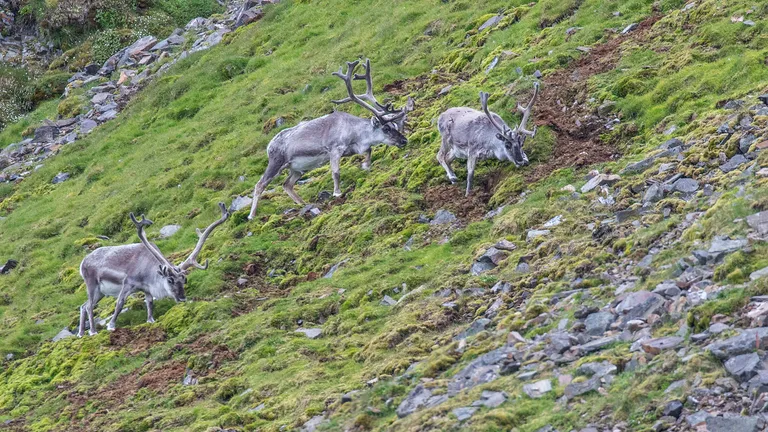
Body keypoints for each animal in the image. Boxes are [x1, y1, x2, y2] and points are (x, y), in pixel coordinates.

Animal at [77, 203, 230, 336]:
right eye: (170, 280)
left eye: (184, 280)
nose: (182, 298)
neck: (149, 272)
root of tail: (83, 262)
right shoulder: (128, 283)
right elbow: (120, 303)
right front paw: (111, 325)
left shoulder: (147, 289)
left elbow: (150, 303)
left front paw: (150, 319)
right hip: (92, 284)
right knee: (89, 306)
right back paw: (93, 331)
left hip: (101, 292)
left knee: (83, 305)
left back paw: (81, 333)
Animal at [247, 59, 414, 220]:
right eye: (386, 128)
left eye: (394, 125)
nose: (404, 141)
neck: (353, 132)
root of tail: (269, 146)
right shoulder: (335, 149)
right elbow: (336, 172)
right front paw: (337, 192)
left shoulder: (352, 149)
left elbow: (369, 150)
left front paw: (365, 165)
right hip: (276, 162)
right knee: (260, 184)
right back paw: (252, 215)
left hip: (298, 168)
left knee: (286, 184)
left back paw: (303, 204)